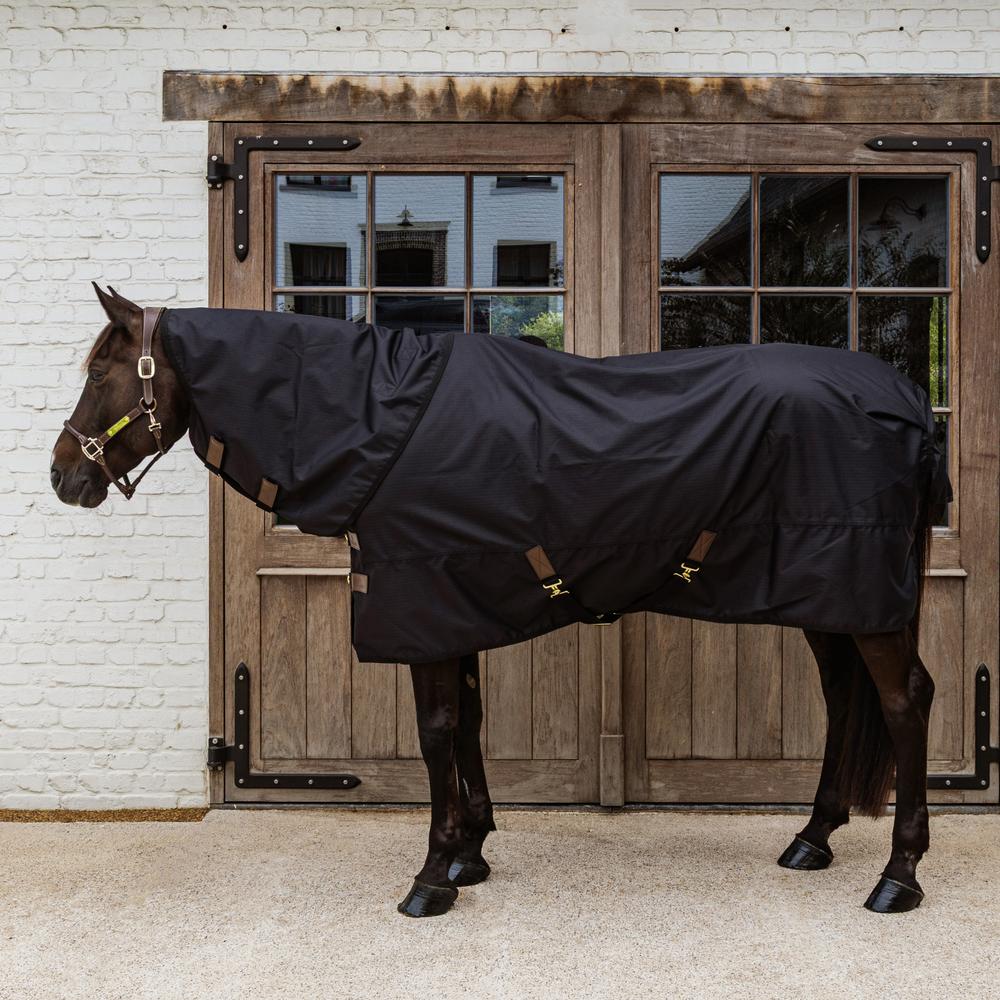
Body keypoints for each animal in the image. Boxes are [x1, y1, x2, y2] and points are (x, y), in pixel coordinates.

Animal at [51, 283, 947, 917]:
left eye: (99, 373)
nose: (63, 476)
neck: (380, 420)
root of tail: (906, 399)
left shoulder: (423, 603)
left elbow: (436, 731)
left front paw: (431, 876)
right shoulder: (456, 601)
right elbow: (468, 723)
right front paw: (470, 854)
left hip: (861, 596)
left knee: (905, 700)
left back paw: (898, 876)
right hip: (832, 598)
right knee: (844, 698)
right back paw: (812, 838)